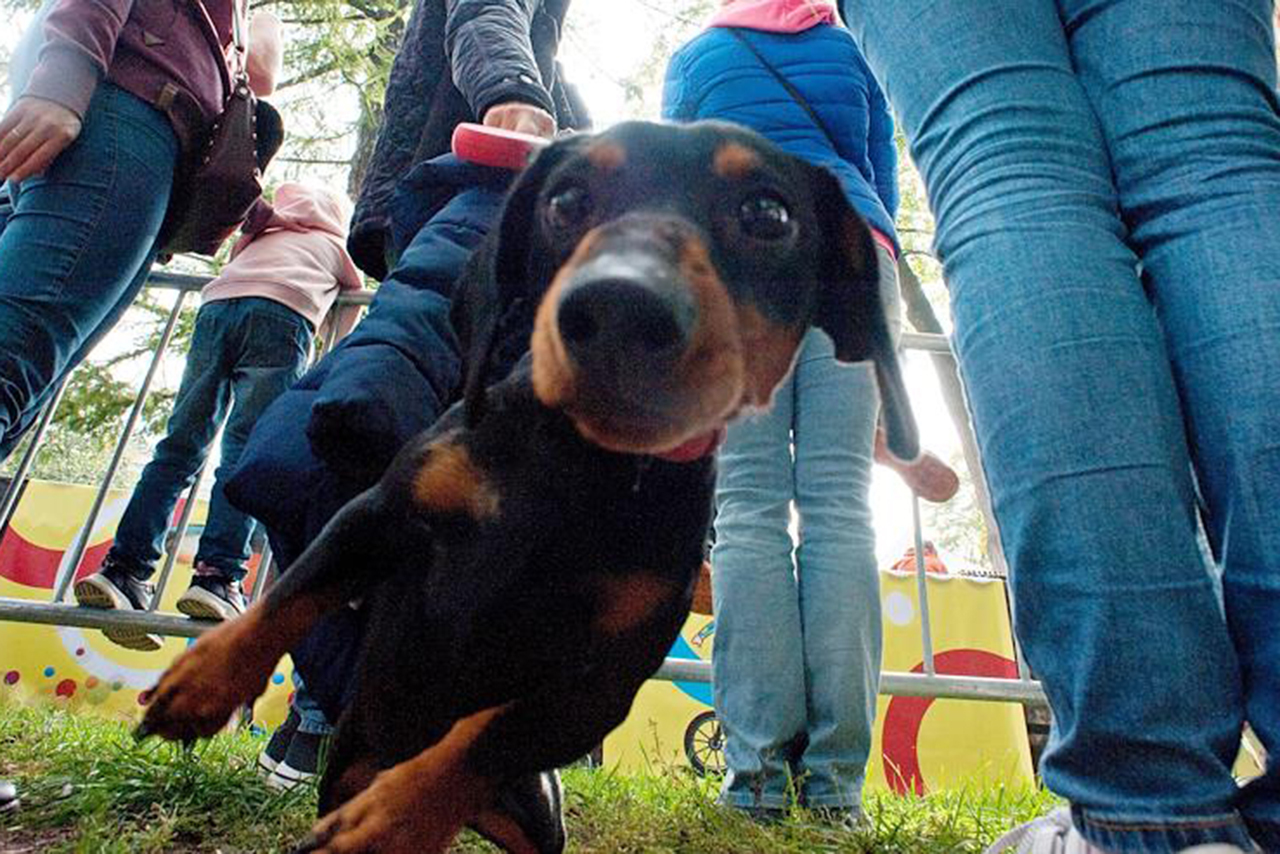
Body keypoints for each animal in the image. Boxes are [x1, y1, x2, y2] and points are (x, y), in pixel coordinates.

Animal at [137, 121, 921, 854]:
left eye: (768, 213)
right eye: (565, 200)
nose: (622, 308)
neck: (578, 460)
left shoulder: (598, 685)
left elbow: (484, 739)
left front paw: (393, 815)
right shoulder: (382, 513)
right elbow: (294, 593)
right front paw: (199, 685)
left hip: (536, 820)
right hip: (349, 766)